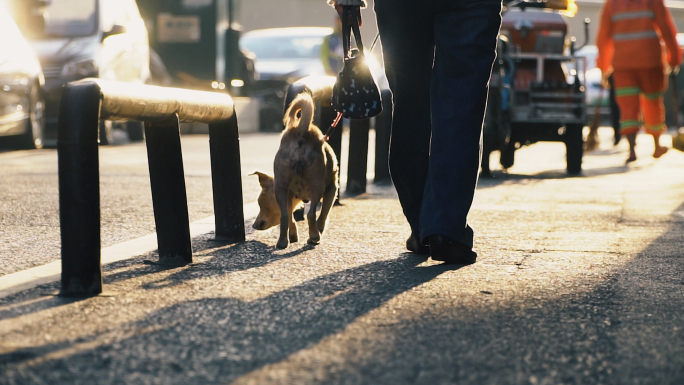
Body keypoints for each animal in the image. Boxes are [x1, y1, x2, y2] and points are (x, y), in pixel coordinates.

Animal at [250, 93, 338, 249]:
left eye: (261, 203)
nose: (254, 225)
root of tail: (300, 131)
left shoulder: (289, 195)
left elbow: (290, 216)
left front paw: (293, 236)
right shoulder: (332, 188)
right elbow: (324, 214)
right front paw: (318, 231)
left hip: (281, 185)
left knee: (285, 216)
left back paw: (282, 242)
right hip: (317, 184)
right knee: (311, 214)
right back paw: (314, 237)